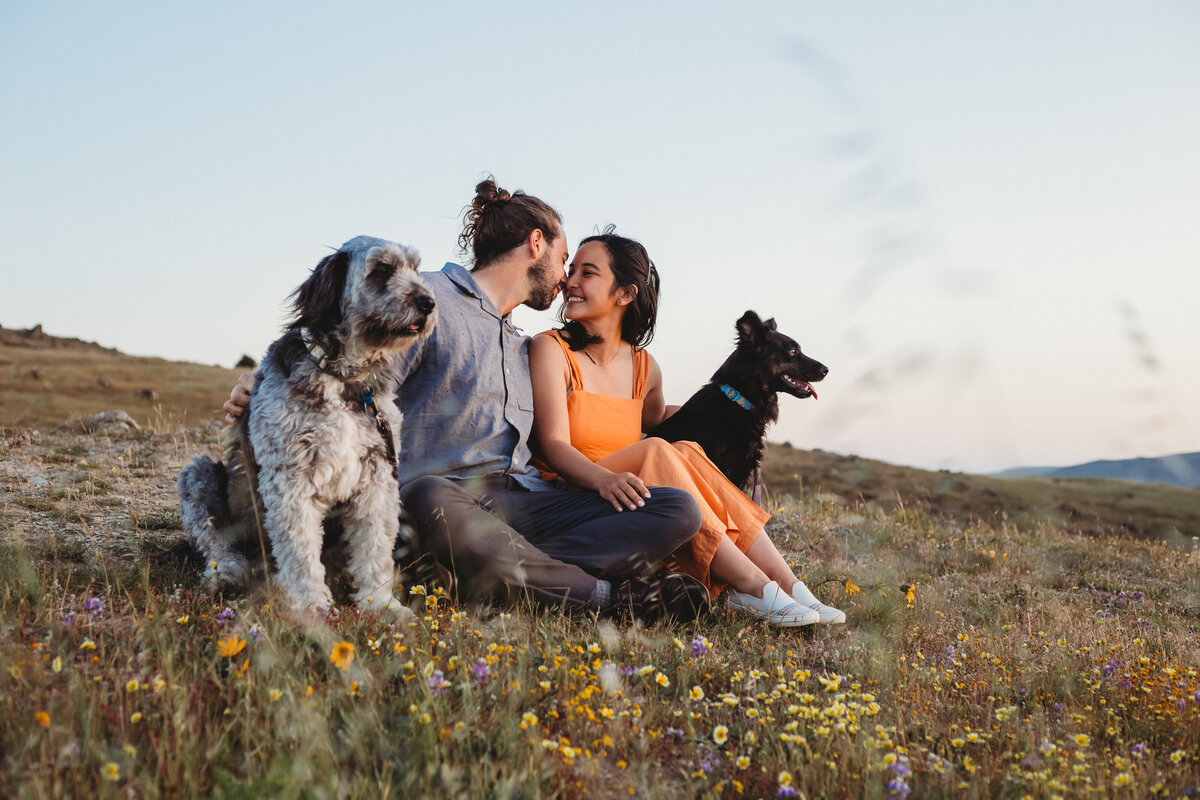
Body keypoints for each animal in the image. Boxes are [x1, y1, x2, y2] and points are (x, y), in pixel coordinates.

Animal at [177, 235, 436, 618]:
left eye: (416, 268)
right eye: (381, 270)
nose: (428, 302)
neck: (343, 379)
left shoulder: (377, 476)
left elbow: (375, 546)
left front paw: (380, 603)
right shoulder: (291, 478)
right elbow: (299, 549)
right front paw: (312, 603)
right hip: (199, 473)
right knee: (214, 542)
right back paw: (227, 572)